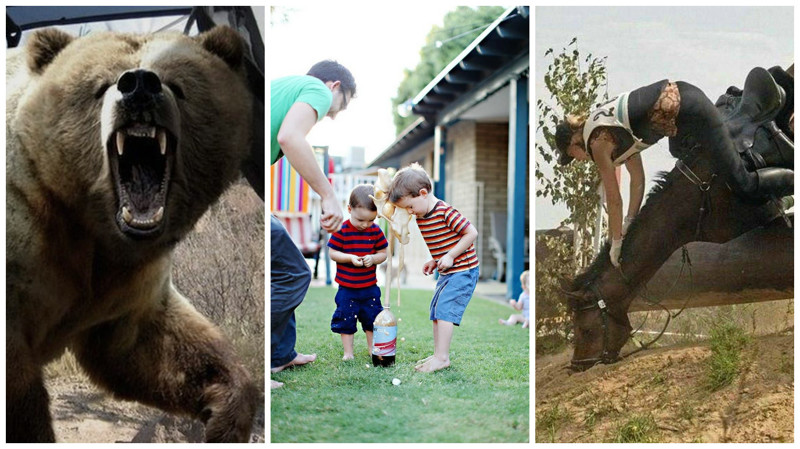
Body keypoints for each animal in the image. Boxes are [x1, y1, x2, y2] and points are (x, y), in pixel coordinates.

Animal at [7, 26, 260, 442]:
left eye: (179, 85)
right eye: (100, 85)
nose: (140, 85)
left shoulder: (126, 284)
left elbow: (146, 345)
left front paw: (225, 413)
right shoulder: (26, 243)